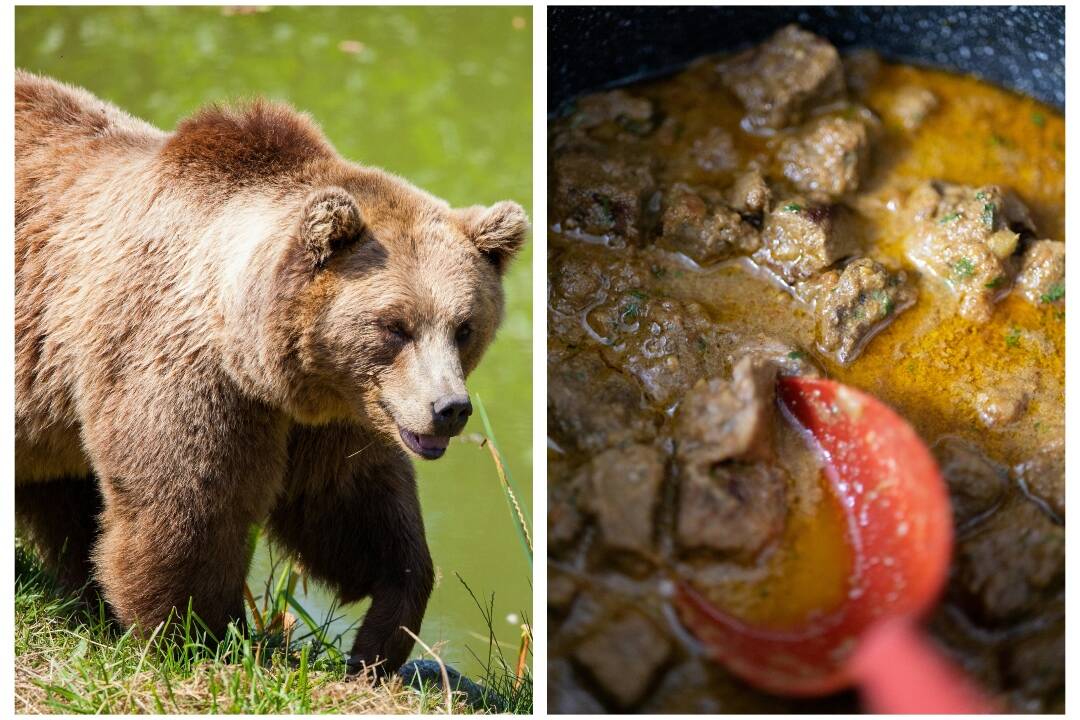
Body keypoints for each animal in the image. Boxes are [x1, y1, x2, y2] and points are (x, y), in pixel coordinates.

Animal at [12, 70, 527, 673]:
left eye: (464, 326)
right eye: (394, 326)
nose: (449, 408)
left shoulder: (333, 412)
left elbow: (350, 505)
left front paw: (382, 636)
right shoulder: (181, 367)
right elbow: (189, 506)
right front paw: (201, 636)